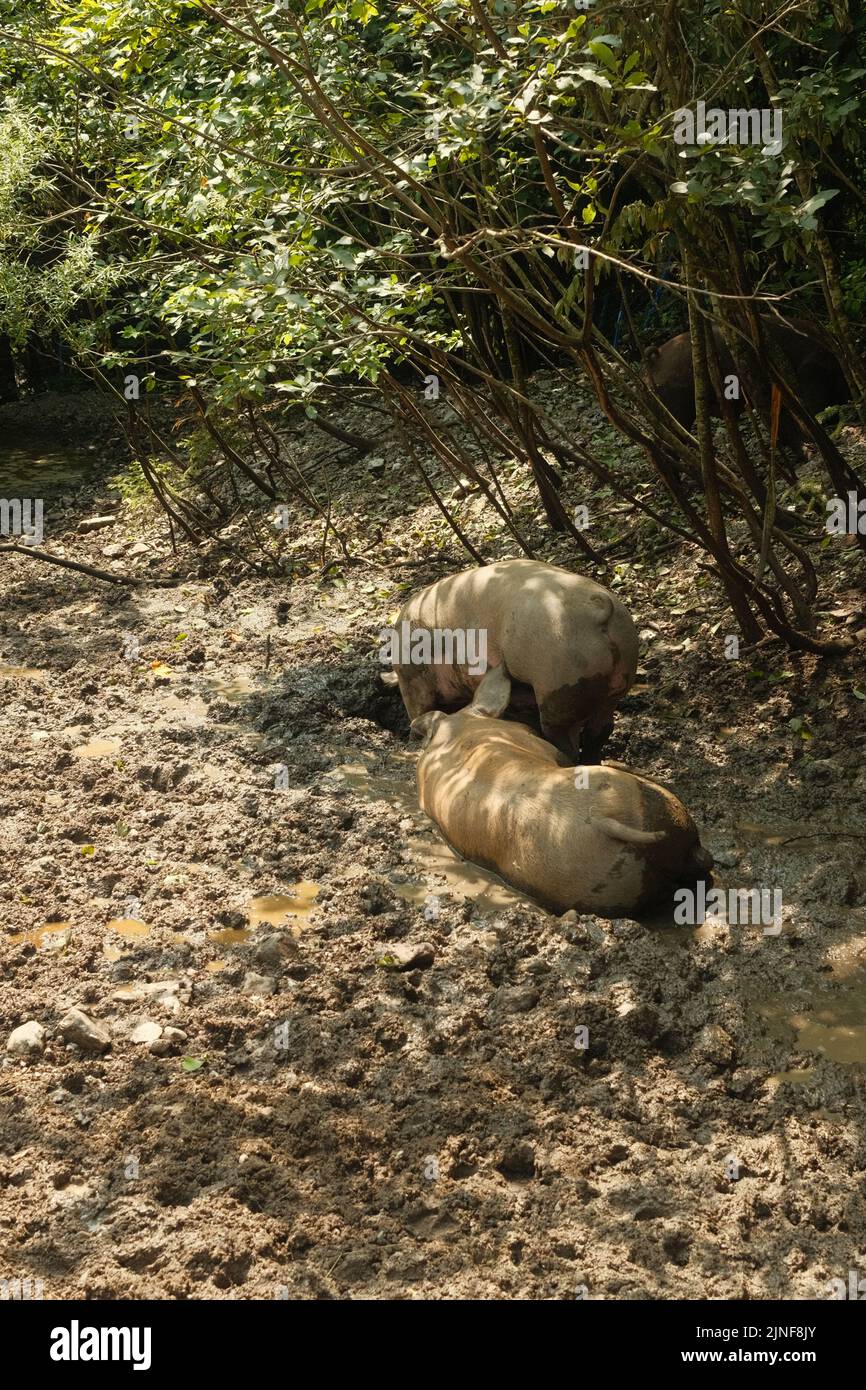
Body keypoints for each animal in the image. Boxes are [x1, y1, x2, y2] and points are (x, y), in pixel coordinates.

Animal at [388, 558, 638, 763]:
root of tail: (597, 608)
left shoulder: (413, 680)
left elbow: (419, 708)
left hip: (558, 684)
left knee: (566, 738)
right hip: (615, 682)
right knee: (600, 731)